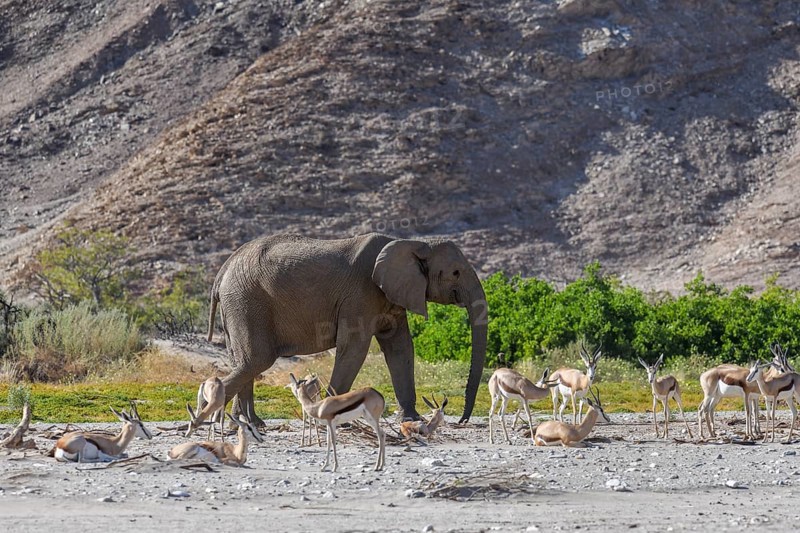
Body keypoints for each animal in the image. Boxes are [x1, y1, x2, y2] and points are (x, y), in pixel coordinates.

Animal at [206, 232, 488, 425]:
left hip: (238, 303)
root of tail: (222, 272)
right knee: (257, 359)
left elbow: (400, 349)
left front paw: (412, 419)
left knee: (244, 361)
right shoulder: (361, 294)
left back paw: (248, 424)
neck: (413, 242)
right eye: (455, 272)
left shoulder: (393, 295)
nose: (462, 420)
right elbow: (355, 348)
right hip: (246, 301)